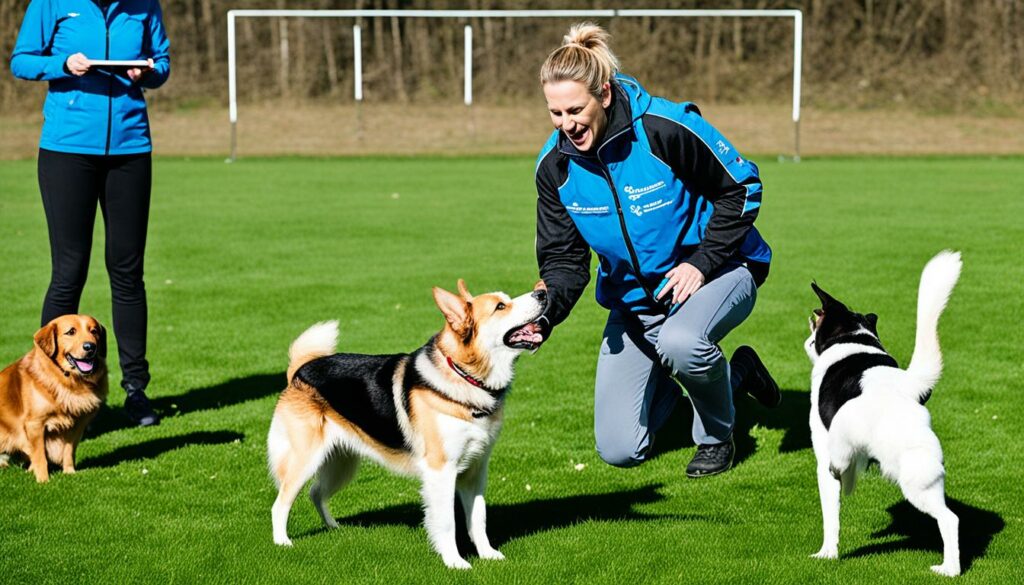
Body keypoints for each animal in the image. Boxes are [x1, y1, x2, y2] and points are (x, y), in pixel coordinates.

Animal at [268, 280, 548, 569]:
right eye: (500, 306)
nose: (542, 292)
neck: (465, 376)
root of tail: (299, 371)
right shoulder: (441, 470)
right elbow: (447, 523)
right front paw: (454, 562)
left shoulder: (476, 470)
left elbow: (478, 520)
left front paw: (488, 554)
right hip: (305, 460)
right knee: (280, 504)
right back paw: (282, 543)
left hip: (342, 464)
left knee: (316, 492)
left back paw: (333, 527)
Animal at [802, 251, 962, 577]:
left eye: (818, 315)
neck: (852, 339)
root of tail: (905, 386)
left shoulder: (825, 454)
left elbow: (831, 516)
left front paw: (827, 554)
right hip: (925, 475)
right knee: (949, 517)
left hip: (915, 481)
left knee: (949, 519)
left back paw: (949, 569)